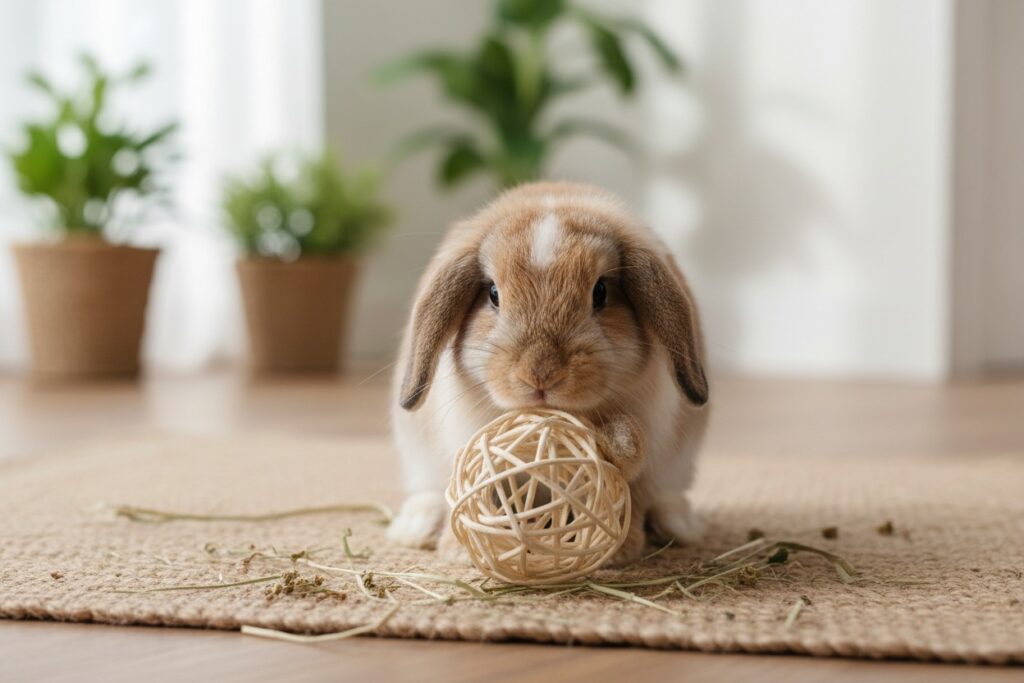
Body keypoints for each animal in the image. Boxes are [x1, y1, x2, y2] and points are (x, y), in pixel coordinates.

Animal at [387, 181, 710, 564]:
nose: (540, 375)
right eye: (493, 293)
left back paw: (679, 524)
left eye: (601, 292)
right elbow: (478, 492)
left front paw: (620, 551)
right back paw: (415, 527)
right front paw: (460, 552)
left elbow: (630, 494)